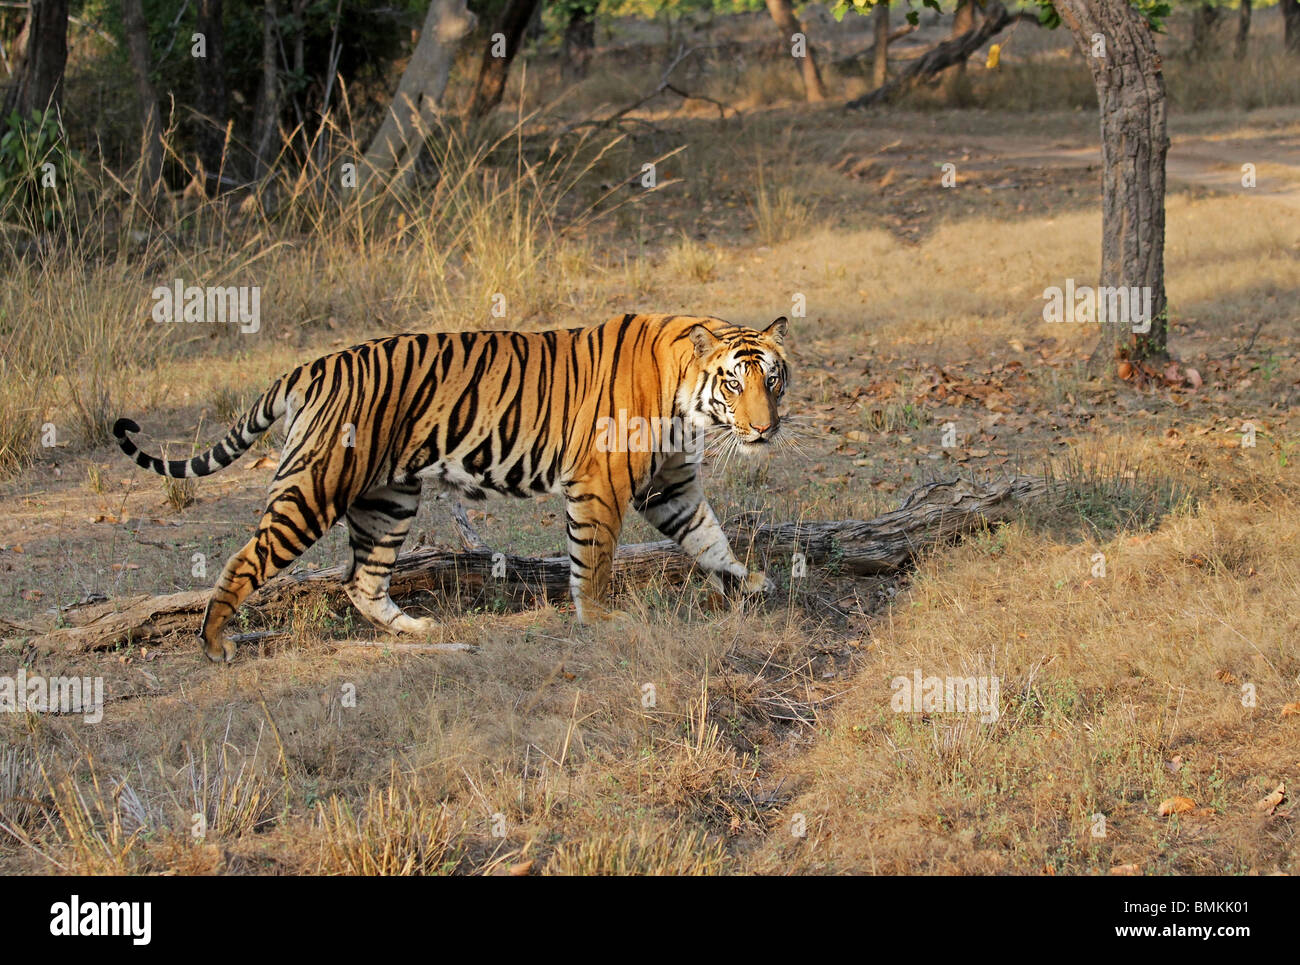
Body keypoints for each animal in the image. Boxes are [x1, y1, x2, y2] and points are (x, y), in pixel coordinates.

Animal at [116, 313, 790, 660]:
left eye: (774, 379)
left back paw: (420, 633)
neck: (688, 406)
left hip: (387, 500)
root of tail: (313, 365)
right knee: (244, 558)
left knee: (361, 582)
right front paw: (601, 619)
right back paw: (214, 644)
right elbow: (594, 560)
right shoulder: (601, 483)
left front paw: (747, 582)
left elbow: (708, 537)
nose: (765, 428)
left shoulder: (668, 485)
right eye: (734, 383)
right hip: (315, 487)